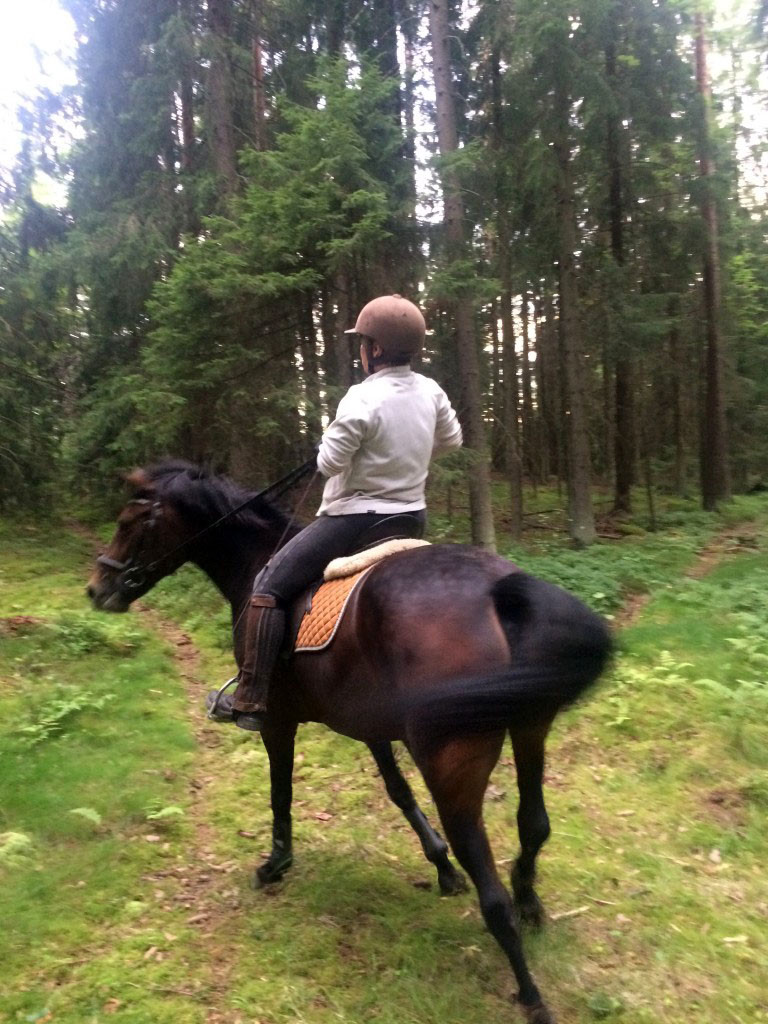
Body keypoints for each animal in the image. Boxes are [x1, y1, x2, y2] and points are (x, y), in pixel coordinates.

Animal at [85, 462, 614, 1024]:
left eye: (127, 522)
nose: (96, 589)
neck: (255, 561)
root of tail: (501, 590)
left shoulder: (276, 721)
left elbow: (281, 792)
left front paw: (276, 864)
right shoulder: (371, 725)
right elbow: (398, 792)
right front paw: (441, 867)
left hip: (451, 766)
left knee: (492, 894)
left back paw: (531, 994)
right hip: (531, 729)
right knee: (534, 825)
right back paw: (531, 907)